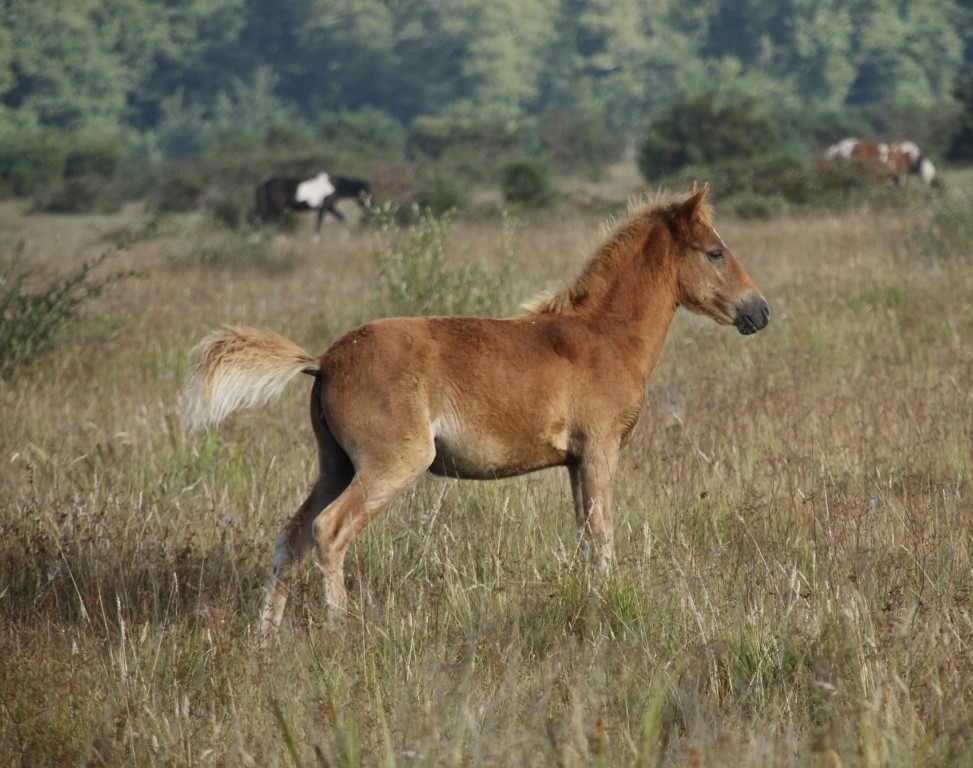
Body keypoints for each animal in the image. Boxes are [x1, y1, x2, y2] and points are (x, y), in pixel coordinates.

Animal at [182, 182, 772, 636]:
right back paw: (340, 630)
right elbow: (604, 535)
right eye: (714, 252)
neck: (603, 336)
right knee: (329, 530)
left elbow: (585, 536)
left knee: (291, 538)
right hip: (391, 463)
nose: (760, 311)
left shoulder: (576, 461)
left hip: (334, 465)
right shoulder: (601, 450)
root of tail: (324, 360)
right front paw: (609, 605)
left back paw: (265, 640)